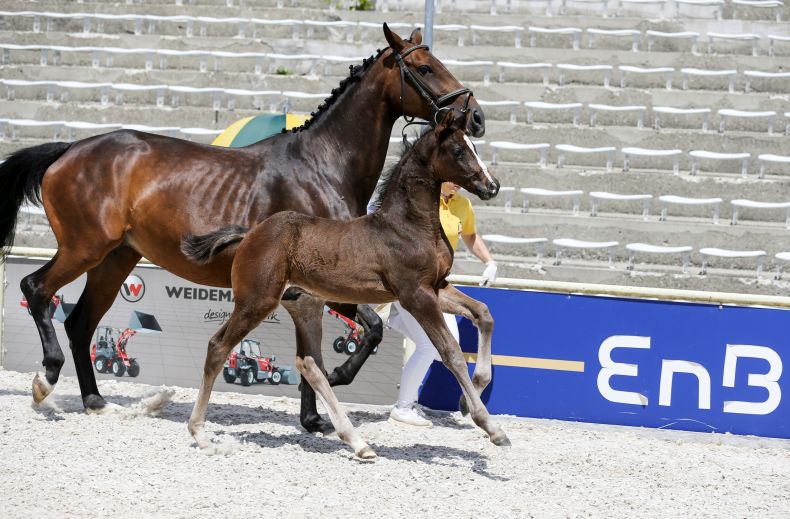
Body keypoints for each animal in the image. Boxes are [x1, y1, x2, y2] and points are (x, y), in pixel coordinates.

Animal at [183, 110, 508, 460]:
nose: (492, 186)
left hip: (306, 305)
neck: (408, 225)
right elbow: (450, 351)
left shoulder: (437, 286)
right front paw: (491, 427)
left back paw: (356, 441)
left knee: (310, 363)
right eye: (459, 151)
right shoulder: (415, 294)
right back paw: (200, 434)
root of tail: (249, 234)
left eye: (473, 146)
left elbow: (483, 313)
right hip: (256, 301)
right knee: (218, 346)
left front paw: (469, 397)